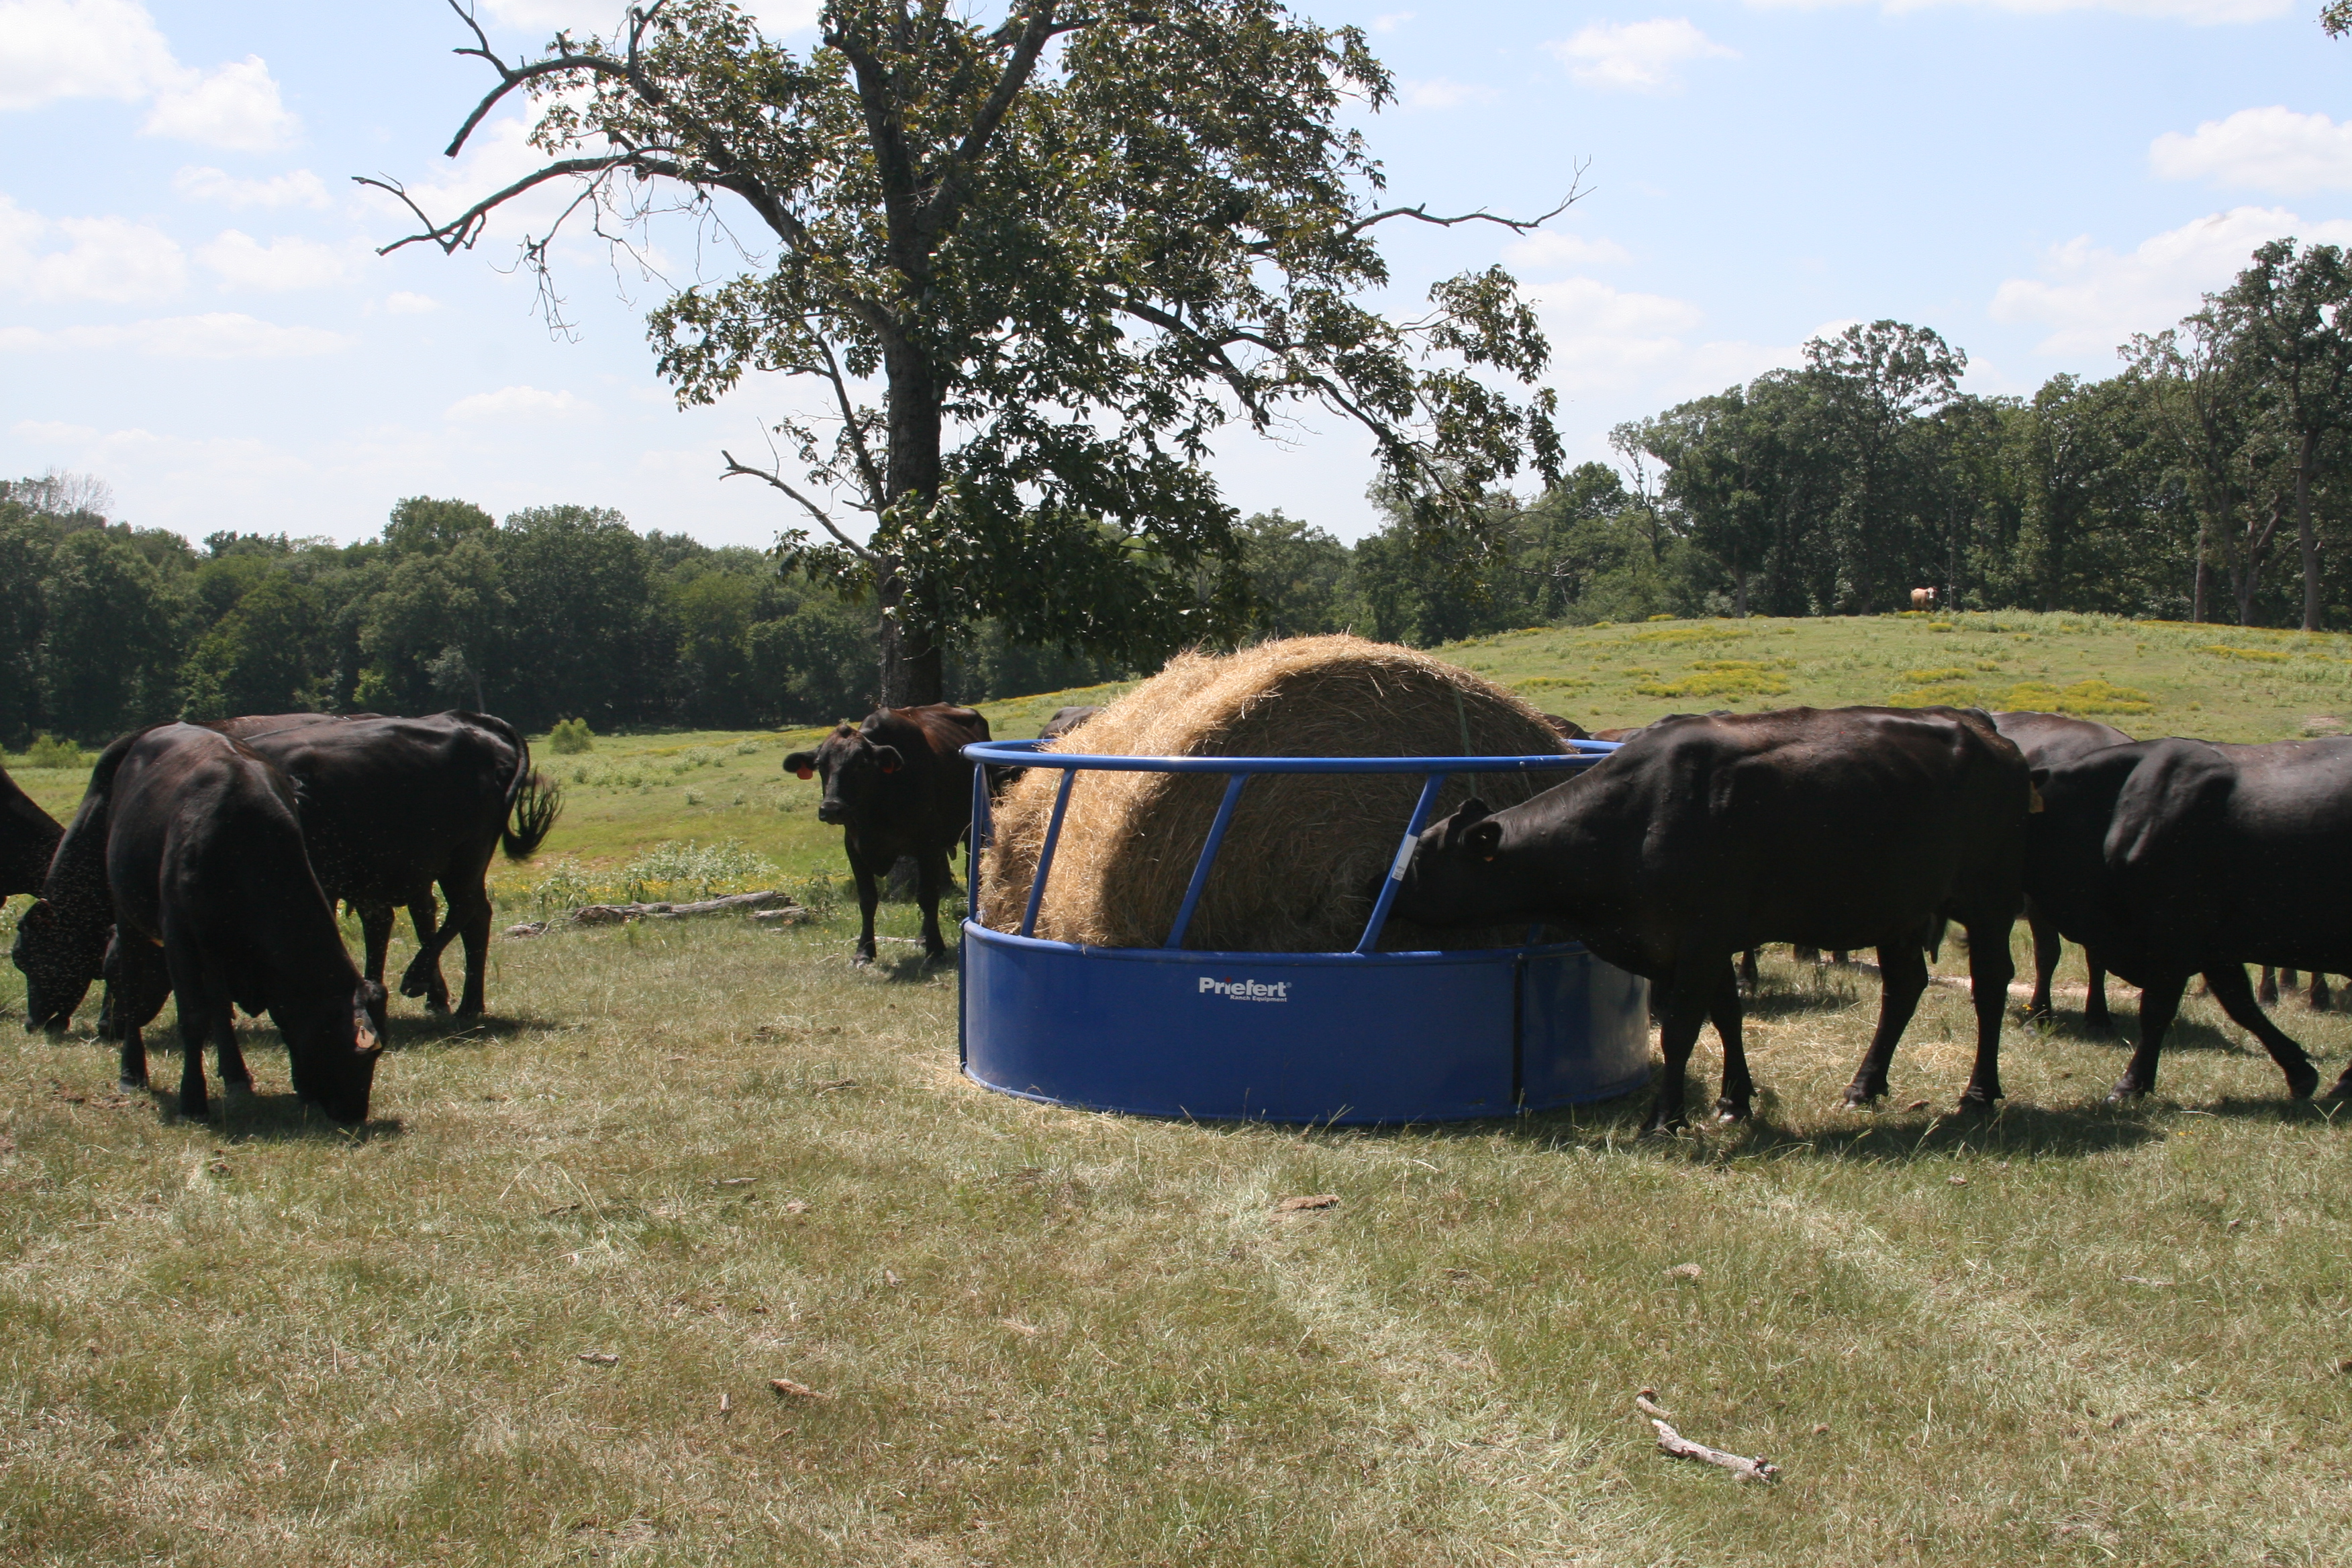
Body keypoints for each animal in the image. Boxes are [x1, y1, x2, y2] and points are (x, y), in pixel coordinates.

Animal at [15, 724, 384, 1122]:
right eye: (350, 1052)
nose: (355, 1112)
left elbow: (219, 1010)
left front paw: (236, 1078)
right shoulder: (179, 936)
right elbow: (192, 1017)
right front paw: (191, 1100)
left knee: (218, 1006)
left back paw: (235, 1074)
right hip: (130, 916)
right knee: (133, 989)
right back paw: (132, 1071)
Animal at [214, 712, 558, 1016]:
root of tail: (472, 719)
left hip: (465, 855)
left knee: (465, 909)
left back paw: (423, 984)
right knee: (461, 916)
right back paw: (462, 1004)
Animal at [785, 704, 991, 966]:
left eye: (861, 764)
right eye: (821, 764)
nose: (831, 808)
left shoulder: (928, 842)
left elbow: (927, 895)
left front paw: (935, 949)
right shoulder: (854, 846)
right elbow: (867, 899)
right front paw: (864, 951)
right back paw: (922, 936)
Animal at [1393, 707, 2031, 1132]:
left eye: (1422, 858)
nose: (1384, 891)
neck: (1637, 815)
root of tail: (1983, 730)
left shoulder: (1698, 938)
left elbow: (1681, 1028)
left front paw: (1666, 1117)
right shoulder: (1702, 941)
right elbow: (1728, 1016)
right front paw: (1734, 1099)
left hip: (1988, 900)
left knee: (1991, 985)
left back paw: (1979, 1092)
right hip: (1899, 909)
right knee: (1903, 989)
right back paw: (1864, 1086)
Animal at [2024, 735, 2352, 1103]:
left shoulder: (2175, 933)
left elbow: (2156, 1009)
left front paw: (2132, 1084)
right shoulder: (2213, 947)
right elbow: (2241, 1005)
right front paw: (2299, 1071)